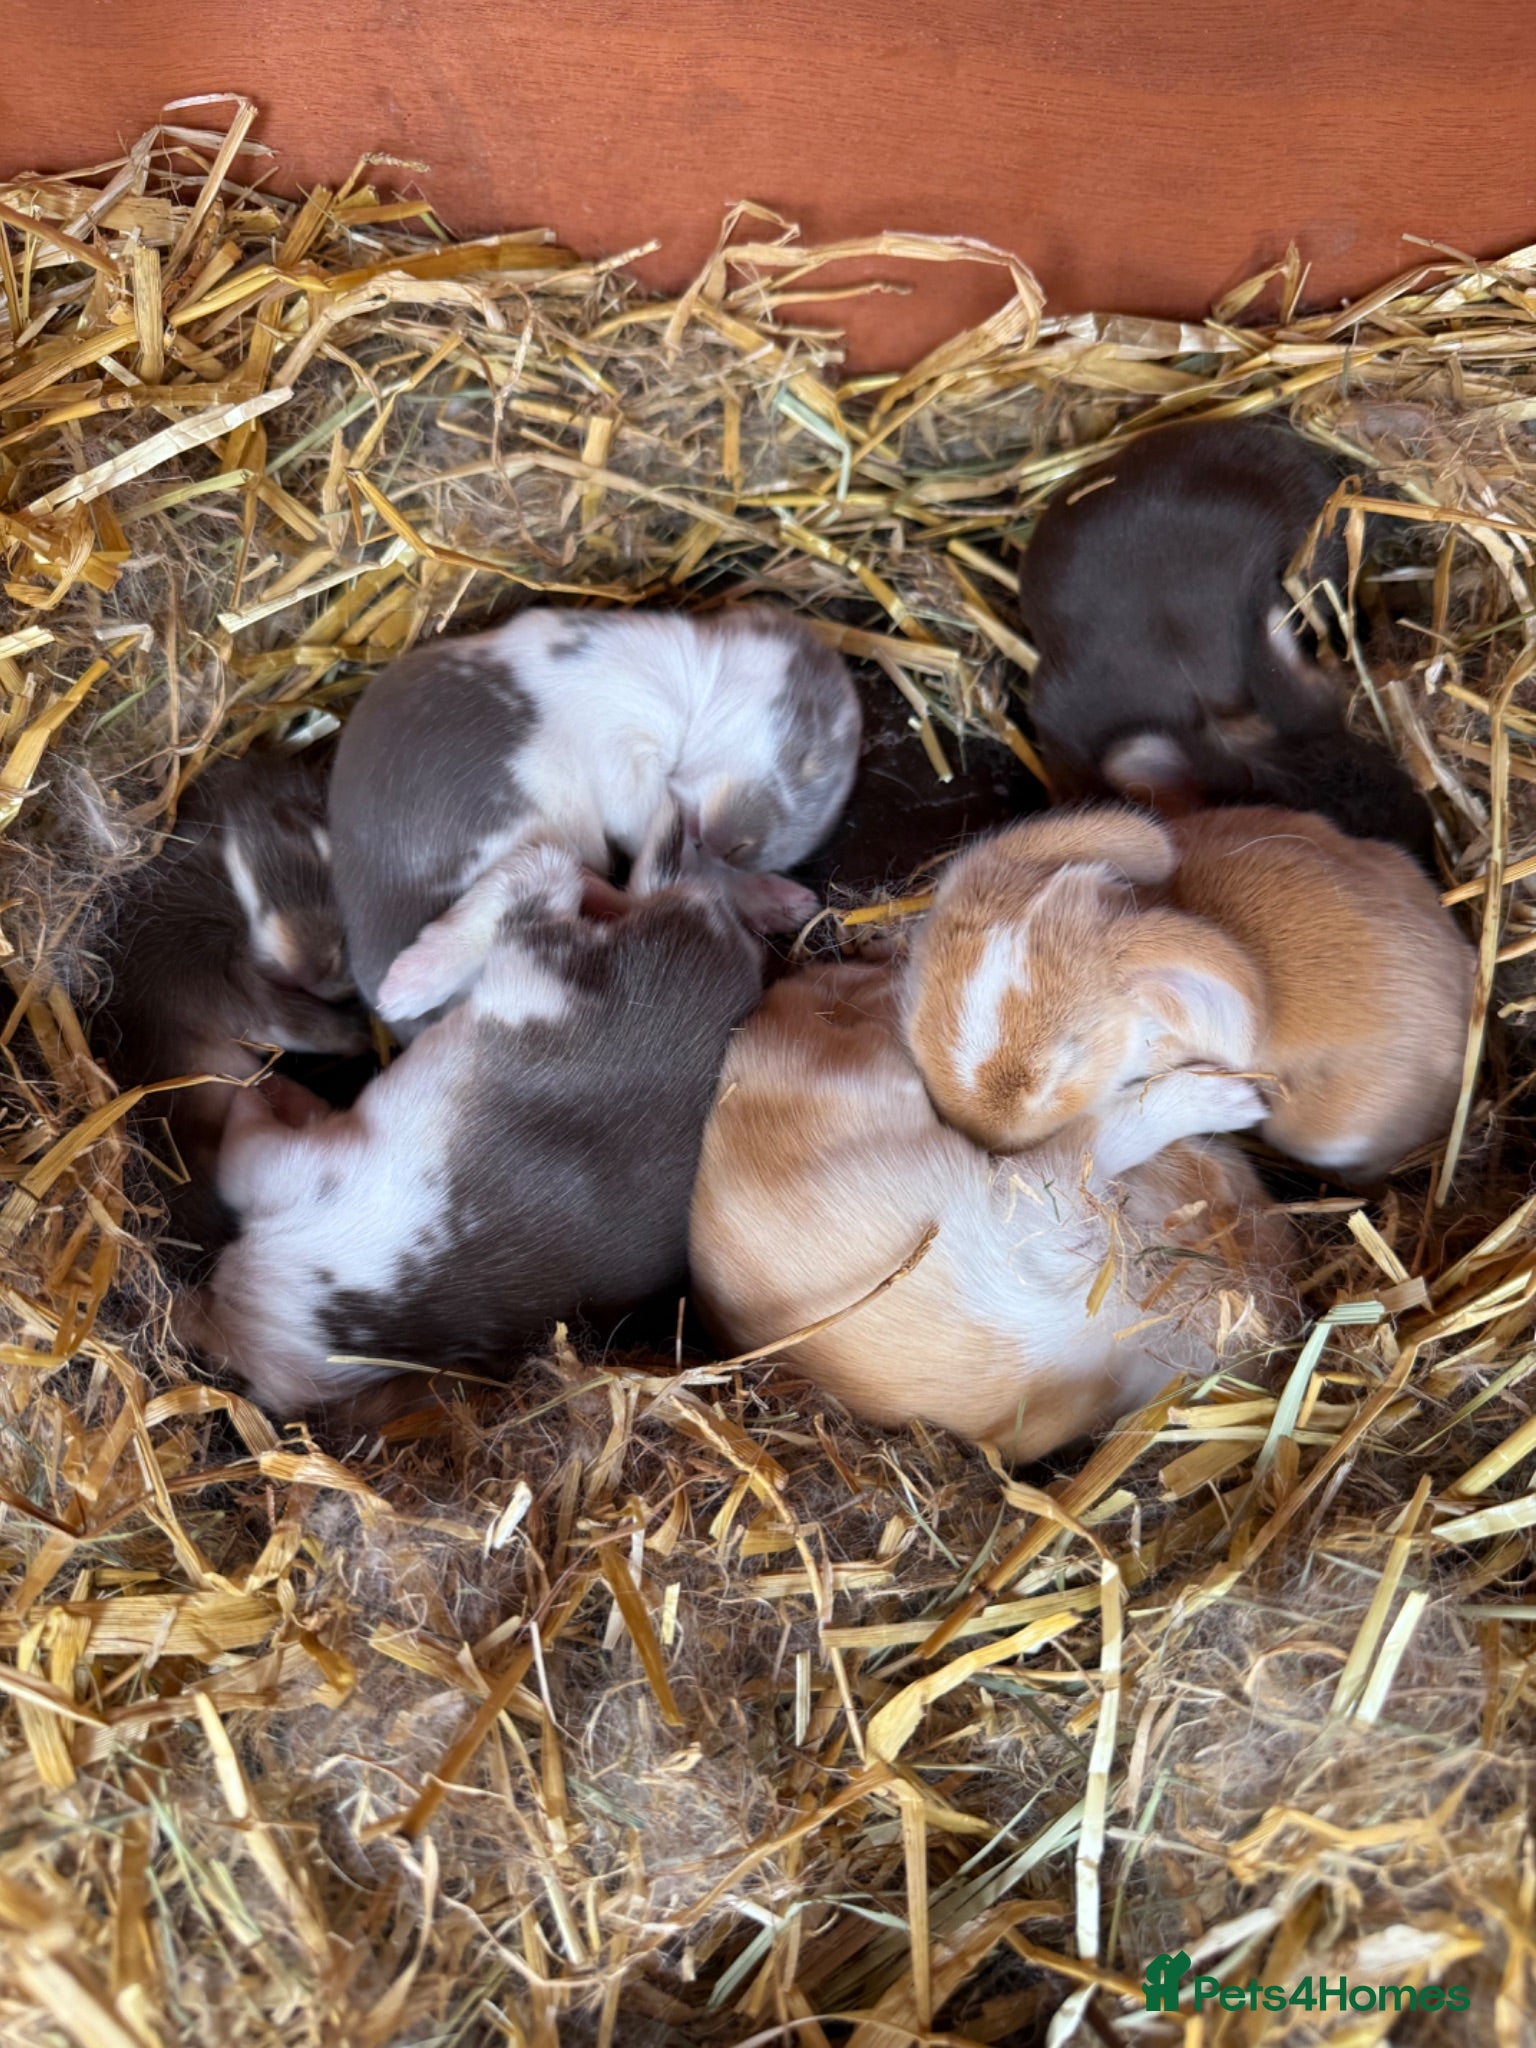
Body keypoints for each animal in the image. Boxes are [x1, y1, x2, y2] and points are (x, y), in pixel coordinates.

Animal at [177, 824, 764, 1414]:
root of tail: (712, 916)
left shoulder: (295, 1174)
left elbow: (244, 1147)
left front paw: (260, 1086)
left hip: (539, 967)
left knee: (546, 867)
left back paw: (403, 986)